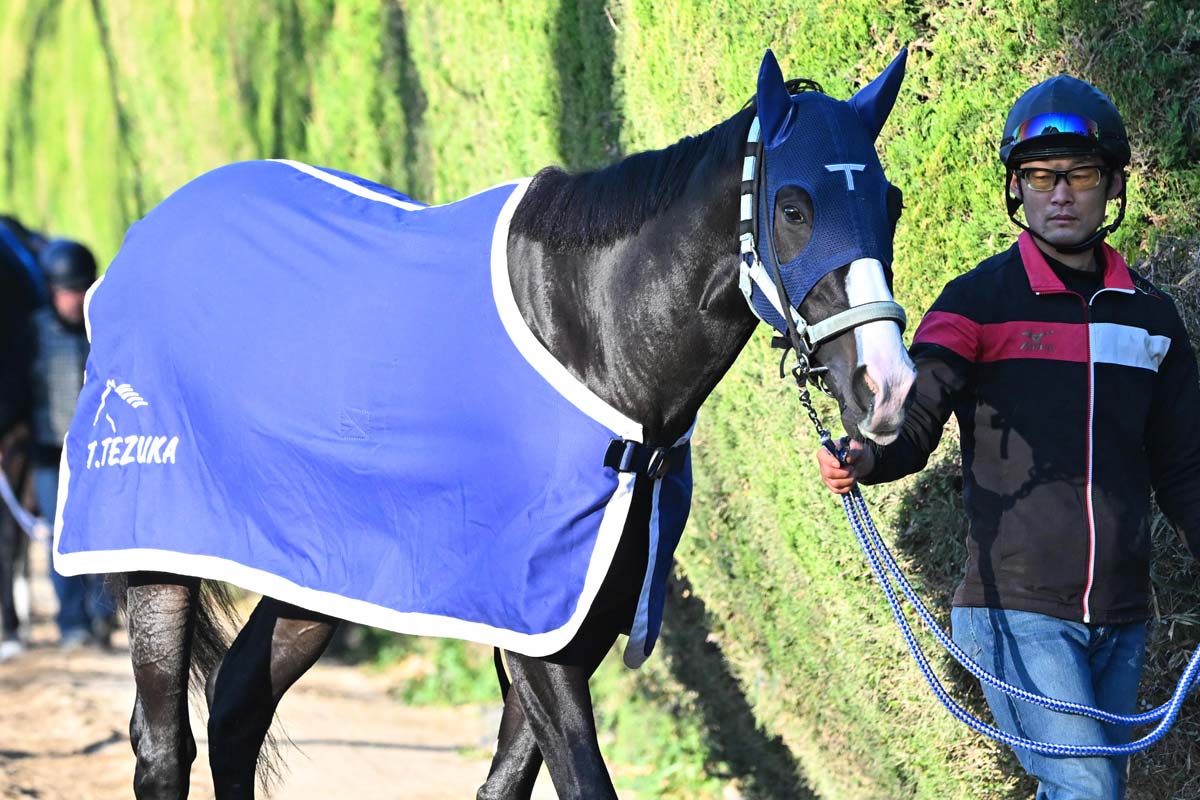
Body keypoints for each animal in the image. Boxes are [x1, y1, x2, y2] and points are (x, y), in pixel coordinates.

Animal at [54, 49, 916, 799]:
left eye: (891, 202)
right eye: (795, 206)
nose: (887, 386)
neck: (591, 335)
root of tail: (138, 247)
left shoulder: (572, 630)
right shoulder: (536, 634)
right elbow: (583, 781)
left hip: (313, 571)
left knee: (237, 709)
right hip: (155, 550)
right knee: (164, 744)